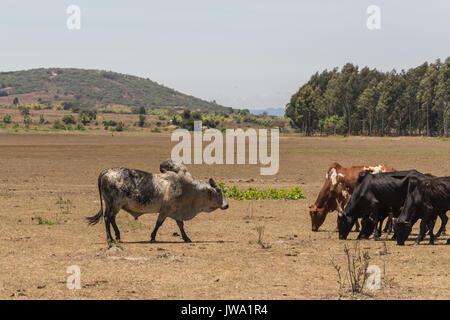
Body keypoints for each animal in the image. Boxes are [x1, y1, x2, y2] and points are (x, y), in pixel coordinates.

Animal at [86, 160, 229, 242]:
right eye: (219, 191)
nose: (226, 205)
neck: (187, 188)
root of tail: (105, 172)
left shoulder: (176, 212)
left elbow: (180, 225)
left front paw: (186, 238)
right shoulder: (165, 211)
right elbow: (158, 224)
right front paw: (153, 237)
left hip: (108, 203)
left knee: (108, 218)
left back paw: (114, 236)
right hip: (116, 204)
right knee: (109, 218)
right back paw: (112, 237)